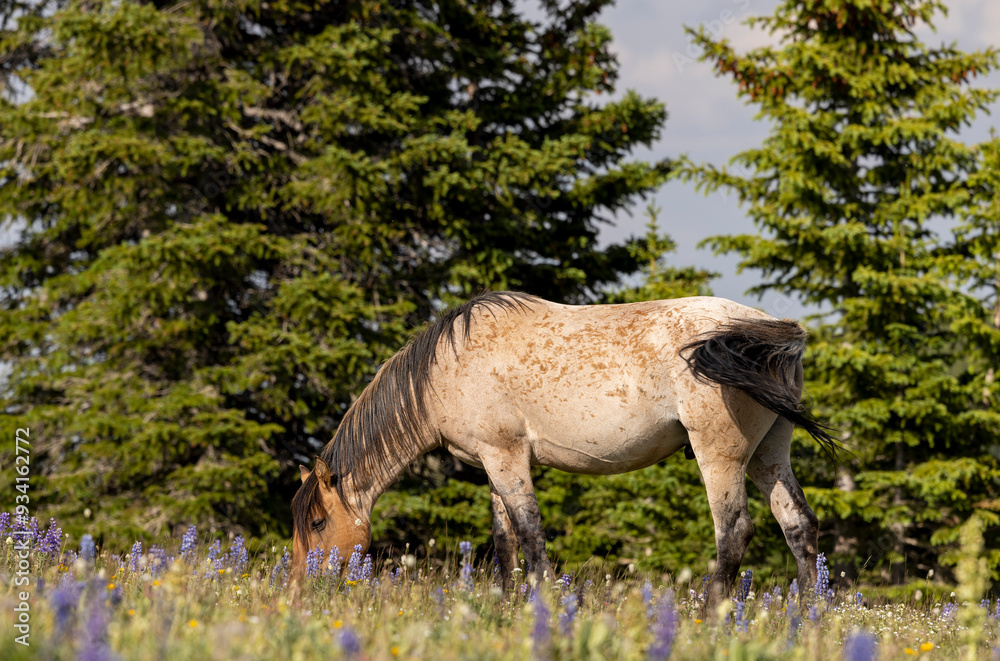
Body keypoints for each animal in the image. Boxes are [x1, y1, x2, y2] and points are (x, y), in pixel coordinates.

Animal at [290, 291, 836, 602]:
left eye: (317, 523)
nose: (300, 584)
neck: (444, 368)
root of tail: (768, 330)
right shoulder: (493, 463)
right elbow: (505, 539)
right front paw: (506, 603)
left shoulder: (505, 456)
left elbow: (530, 534)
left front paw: (537, 604)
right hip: (769, 452)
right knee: (798, 526)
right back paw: (809, 613)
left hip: (719, 454)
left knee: (733, 531)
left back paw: (710, 613)